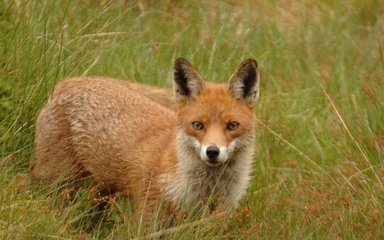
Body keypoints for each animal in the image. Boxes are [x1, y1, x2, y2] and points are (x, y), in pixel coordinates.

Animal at [32, 58, 260, 225]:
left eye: (232, 126)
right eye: (197, 125)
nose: (212, 152)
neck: (205, 189)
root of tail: (70, 81)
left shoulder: (218, 216)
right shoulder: (149, 211)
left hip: (99, 193)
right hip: (55, 180)